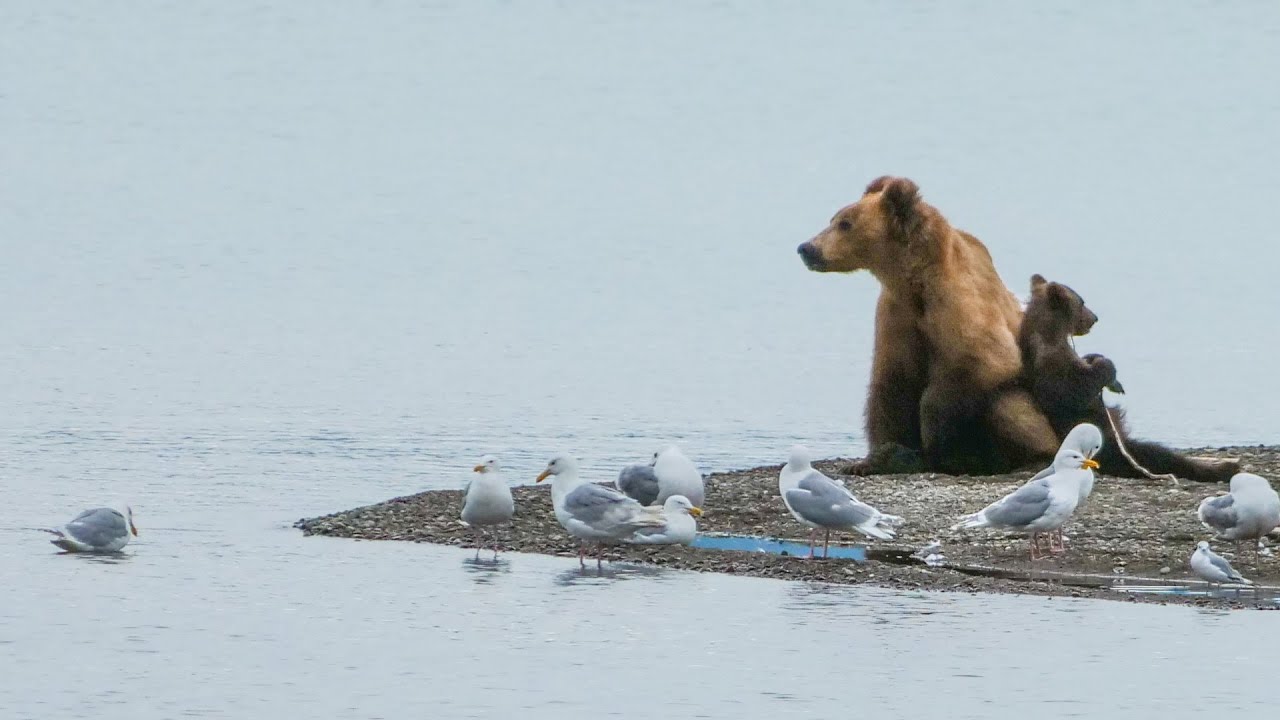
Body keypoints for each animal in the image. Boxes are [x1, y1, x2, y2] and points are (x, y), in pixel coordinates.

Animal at [796, 175, 1060, 476]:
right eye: (834, 218)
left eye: (845, 223)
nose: (806, 248)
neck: (914, 282)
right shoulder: (897, 316)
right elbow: (890, 387)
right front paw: (874, 459)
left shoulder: (958, 303)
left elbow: (985, 359)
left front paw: (932, 441)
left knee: (1009, 405)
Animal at [1019, 273, 1239, 483]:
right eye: (1082, 302)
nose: (1095, 318)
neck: (1052, 335)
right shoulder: (1052, 367)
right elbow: (1073, 392)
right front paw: (1106, 367)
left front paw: (1104, 369)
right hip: (1110, 448)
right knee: (1156, 455)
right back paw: (1224, 468)